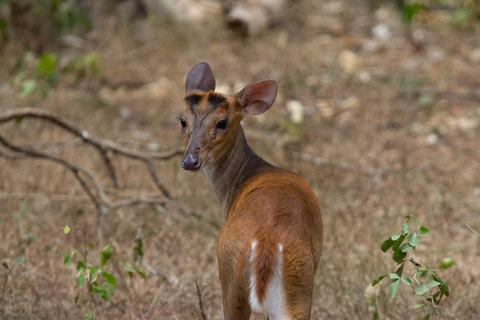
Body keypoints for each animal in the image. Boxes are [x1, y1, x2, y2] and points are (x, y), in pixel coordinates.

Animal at [177, 61, 322, 318]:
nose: (190, 161)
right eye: (182, 120)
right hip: (297, 280)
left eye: (222, 122)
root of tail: (266, 240)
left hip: (231, 269)